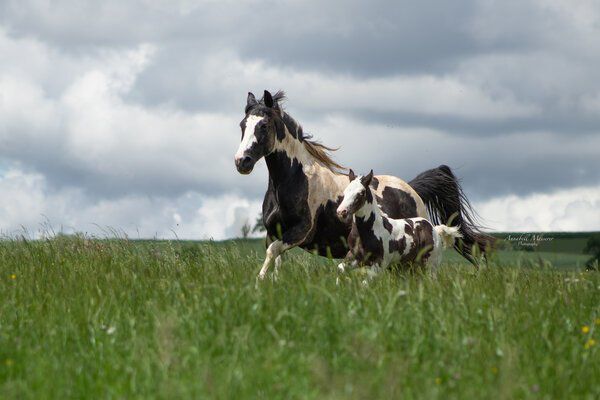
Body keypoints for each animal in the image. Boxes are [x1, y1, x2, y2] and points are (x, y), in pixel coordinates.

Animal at [234, 90, 492, 278]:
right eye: (242, 125)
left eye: (263, 126)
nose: (241, 161)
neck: (293, 180)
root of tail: (412, 190)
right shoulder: (273, 232)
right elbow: (276, 259)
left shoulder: (300, 231)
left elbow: (272, 252)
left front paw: (258, 282)